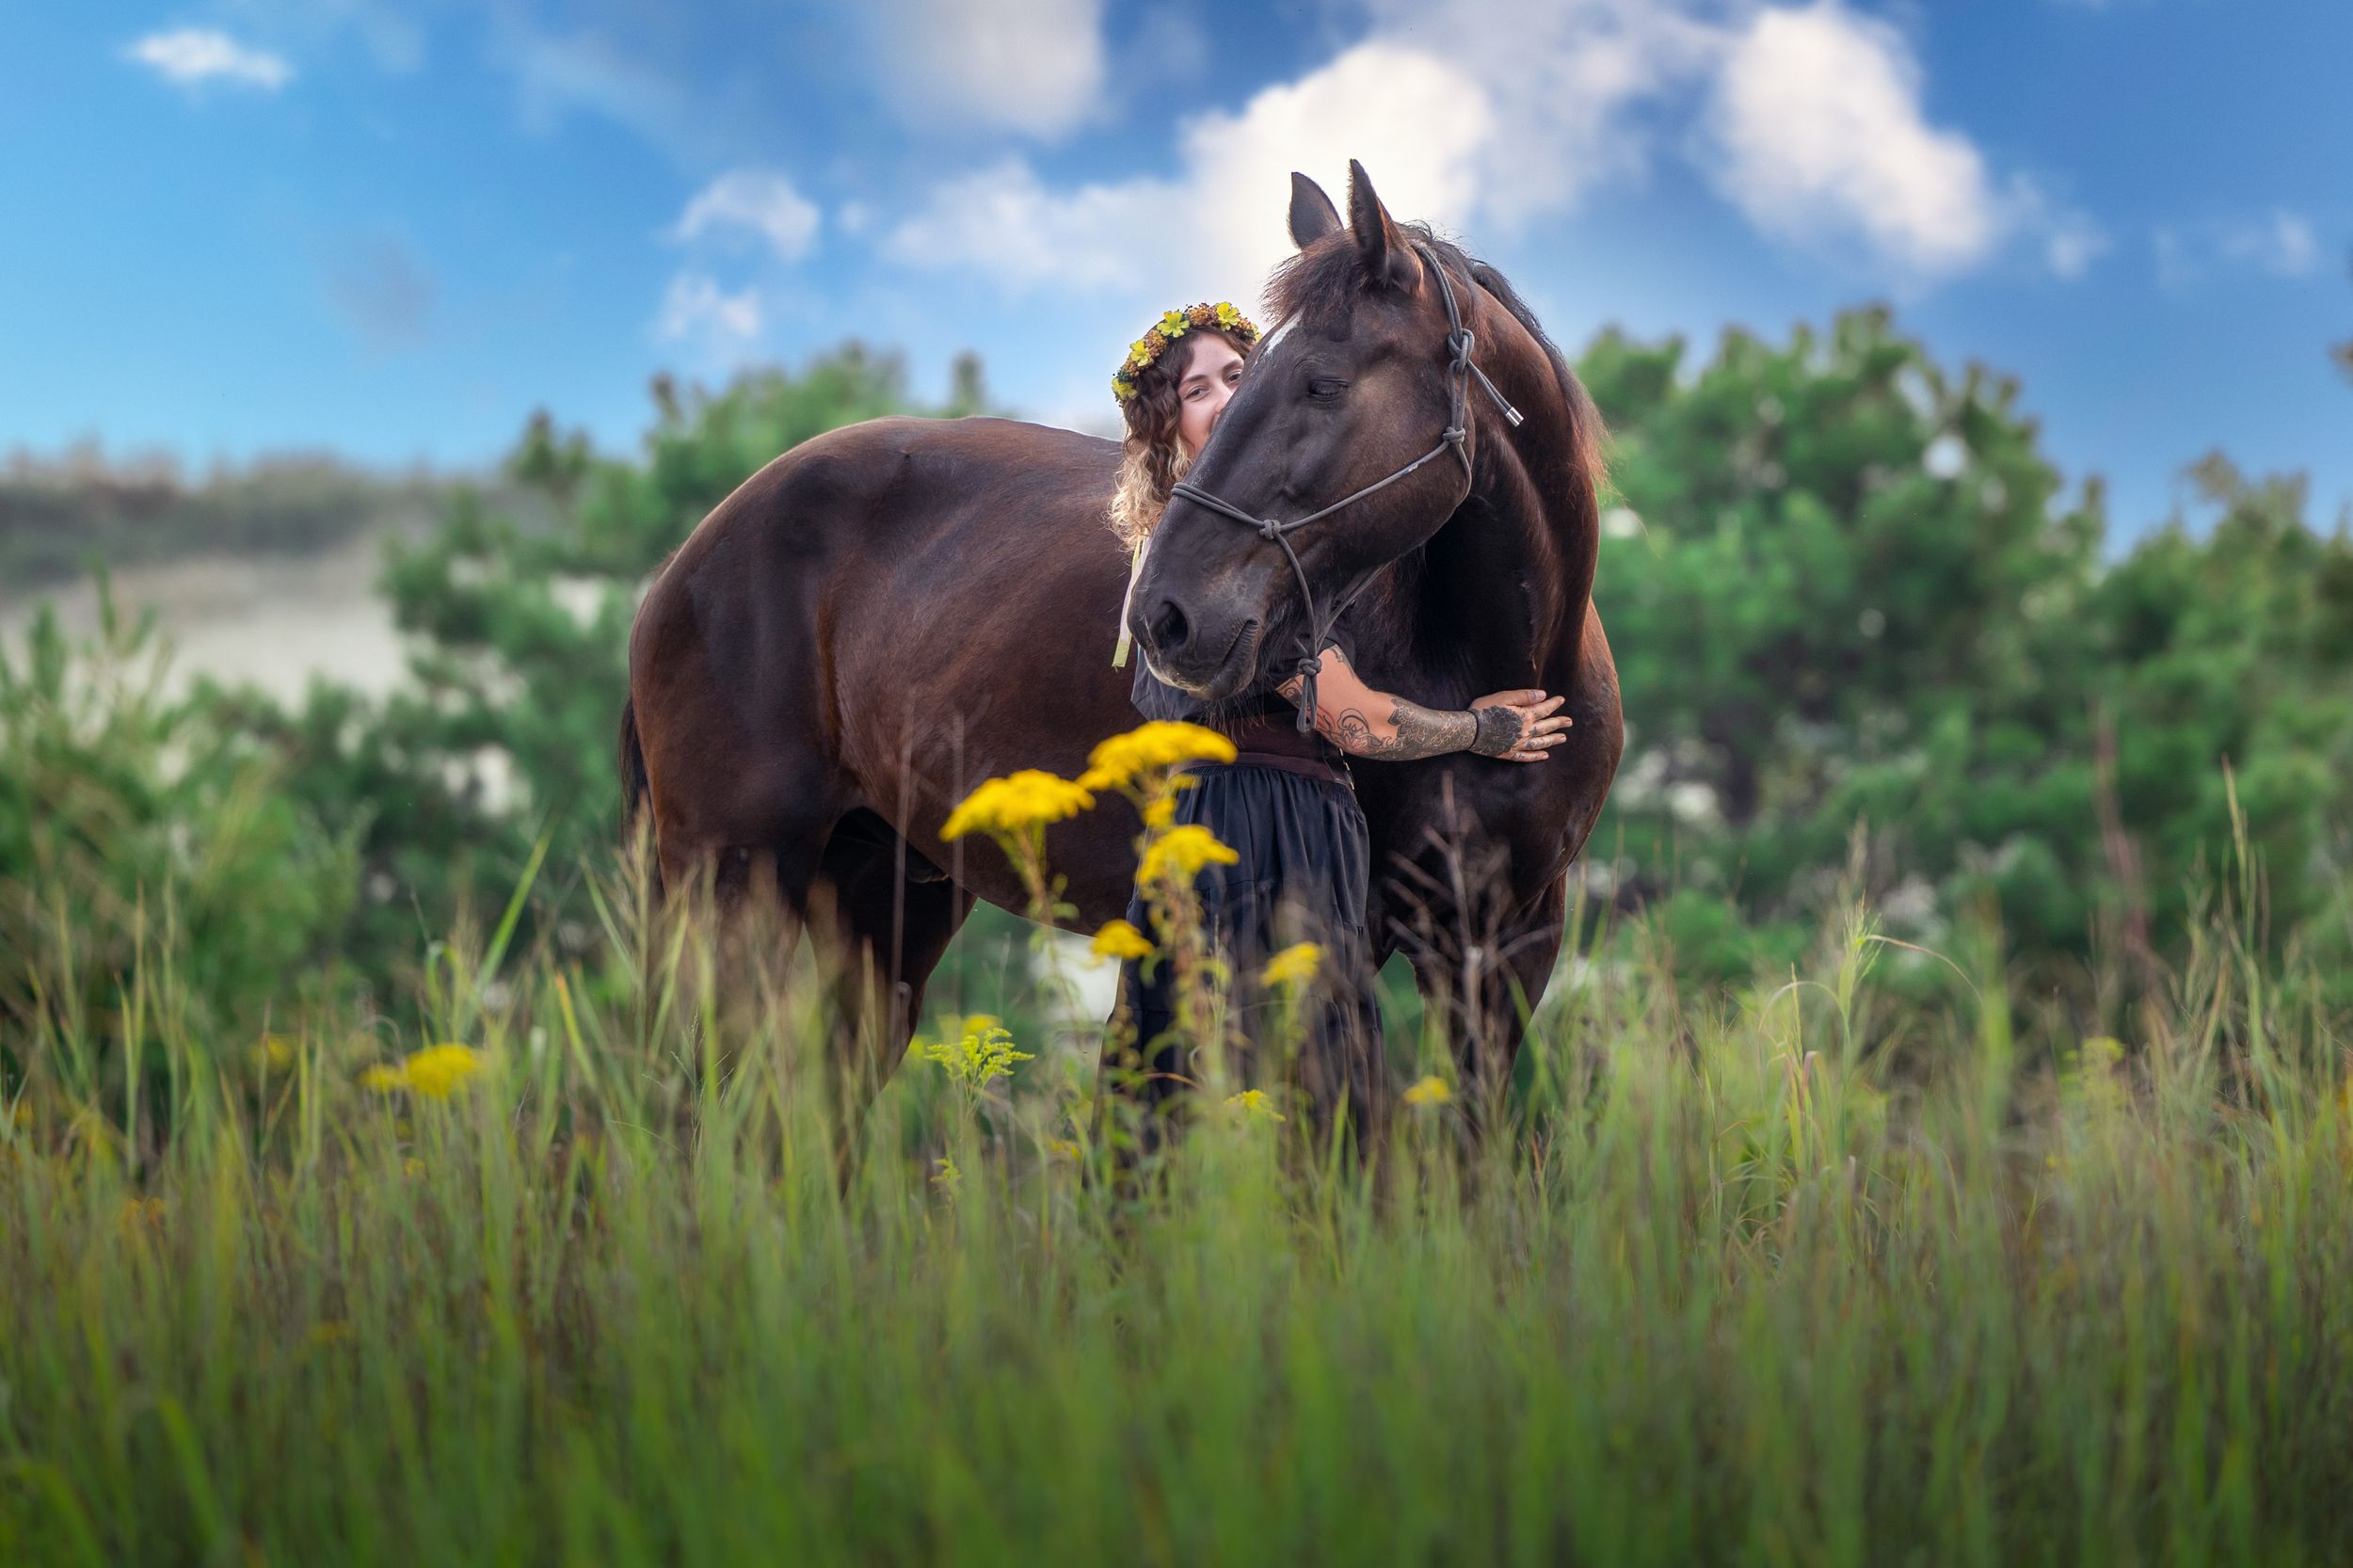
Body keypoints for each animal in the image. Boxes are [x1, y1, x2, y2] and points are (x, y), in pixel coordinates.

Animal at [619, 158, 1623, 1105]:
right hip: (733, 881)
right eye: (1233, 386)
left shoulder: (1507, 950)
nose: (1162, 616)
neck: (1486, 662)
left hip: (881, 893)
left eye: (1323, 383)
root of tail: (687, 557)